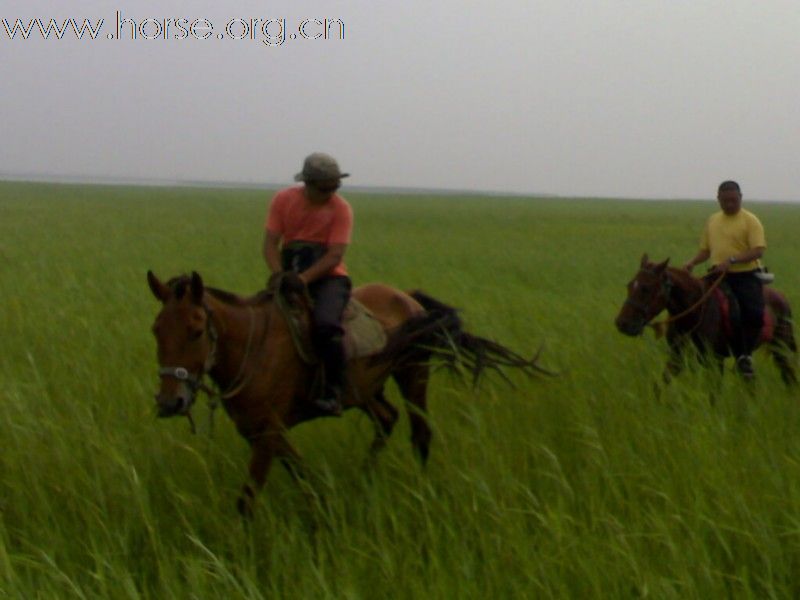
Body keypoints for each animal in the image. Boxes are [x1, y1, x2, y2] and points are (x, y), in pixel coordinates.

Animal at [147, 270, 548, 512]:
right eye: (157, 330)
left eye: (196, 330)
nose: (170, 401)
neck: (252, 345)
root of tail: (407, 296)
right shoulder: (261, 432)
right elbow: (301, 474)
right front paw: (323, 507)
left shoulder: (268, 432)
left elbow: (248, 498)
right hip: (364, 389)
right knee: (386, 419)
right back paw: (364, 480)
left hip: (413, 375)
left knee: (420, 431)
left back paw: (418, 488)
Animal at [612, 253, 792, 384]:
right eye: (630, 285)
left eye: (646, 289)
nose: (622, 323)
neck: (693, 312)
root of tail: (781, 297)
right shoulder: (676, 356)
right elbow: (662, 383)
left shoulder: (714, 360)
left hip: (782, 347)